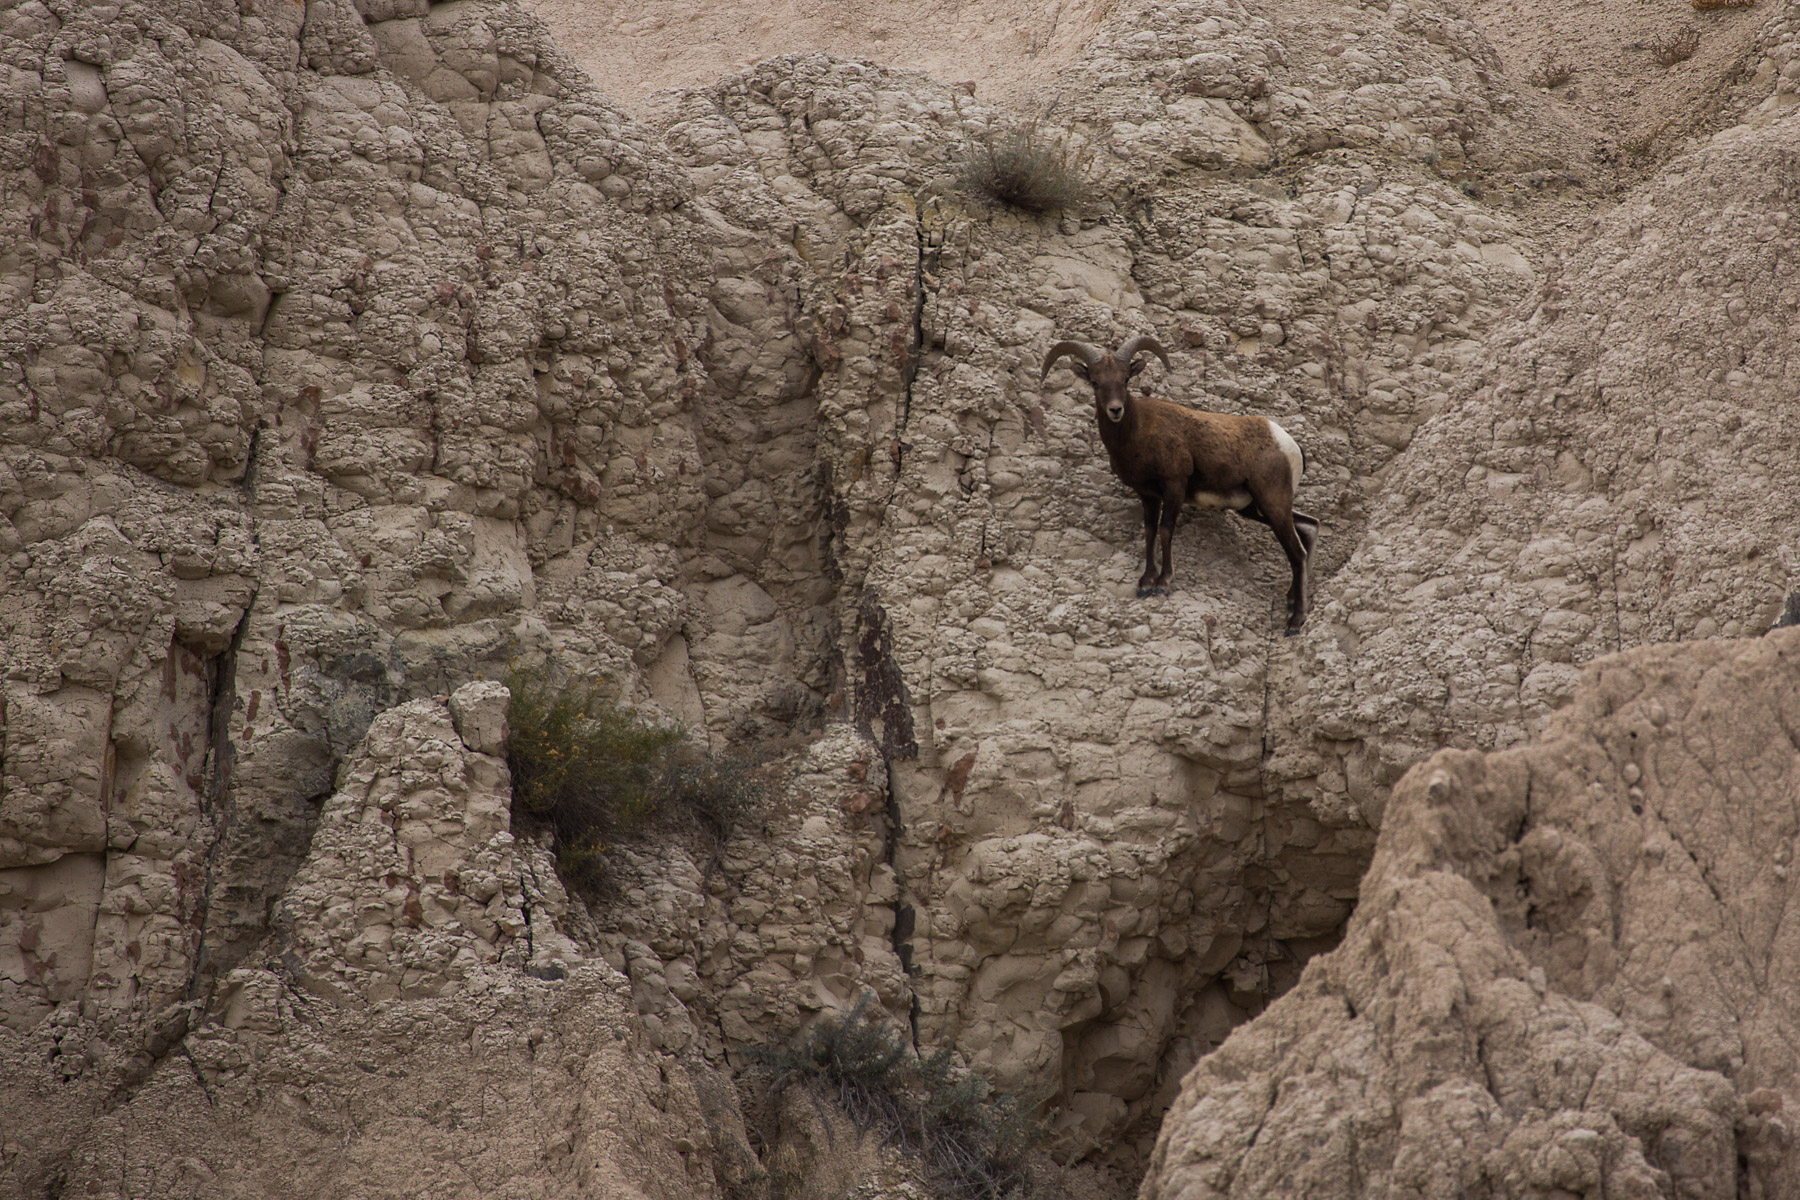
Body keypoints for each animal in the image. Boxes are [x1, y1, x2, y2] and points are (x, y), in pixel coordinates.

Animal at [1040, 335, 1321, 633]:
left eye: (1126, 379)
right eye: (1095, 382)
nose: (1115, 409)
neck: (1138, 434)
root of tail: (1289, 445)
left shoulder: (1174, 488)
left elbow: (1165, 531)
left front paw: (1163, 584)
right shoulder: (1148, 495)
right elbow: (1150, 531)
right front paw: (1145, 583)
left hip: (1273, 503)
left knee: (1297, 553)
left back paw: (1295, 621)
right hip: (1256, 508)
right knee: (1308, 529)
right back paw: (1291, 601)